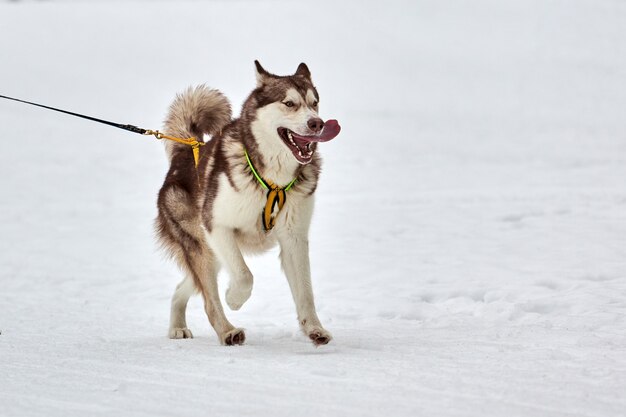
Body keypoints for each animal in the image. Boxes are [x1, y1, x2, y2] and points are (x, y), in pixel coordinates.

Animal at [156, 58, 342, 344]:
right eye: (289, 103)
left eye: (314, 103)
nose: (317, 124)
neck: (273, 180)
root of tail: (185, 151)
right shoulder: (217, 226)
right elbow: (245, 276)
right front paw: (234, 298)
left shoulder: (294, 237)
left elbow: (305, 292)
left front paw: (314, 329)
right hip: (204, 247)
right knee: (209, 300)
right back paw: (227, 331)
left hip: (213, 254)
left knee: (183, 286)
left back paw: (177, 326)